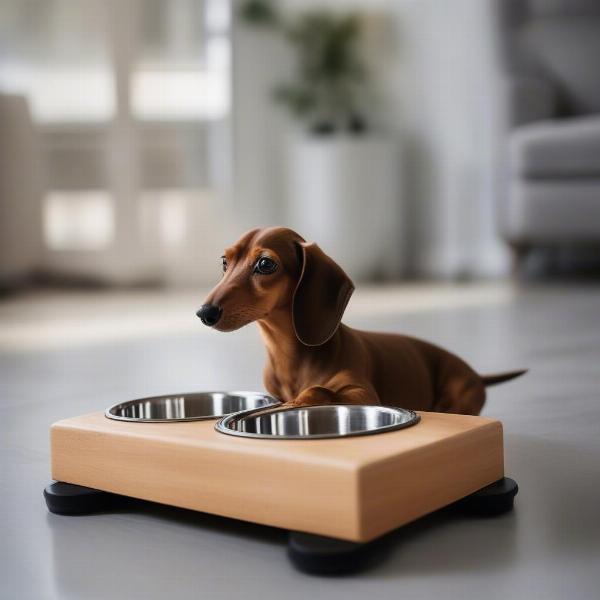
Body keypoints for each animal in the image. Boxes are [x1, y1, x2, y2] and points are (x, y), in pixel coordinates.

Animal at [198, 227, 524, 414]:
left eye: (265, 264)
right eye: (225, 262)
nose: (204, 313)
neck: (289, 357)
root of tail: (476, 374)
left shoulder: (363, 393)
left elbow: (320, 389)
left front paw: (299, 401)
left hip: (459, 394)